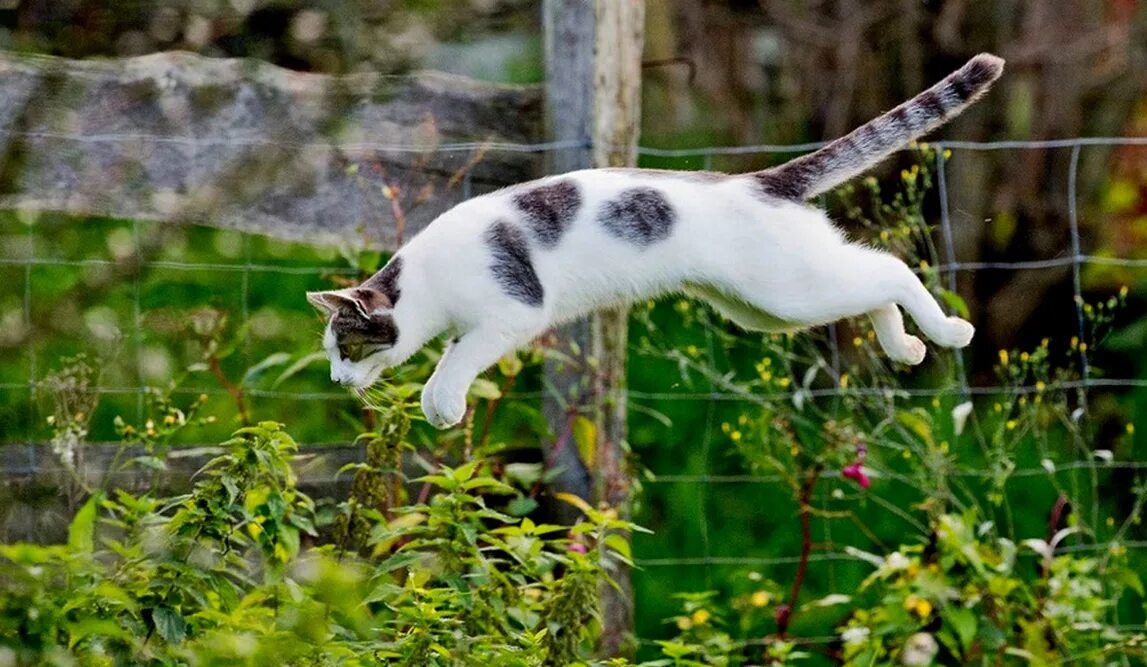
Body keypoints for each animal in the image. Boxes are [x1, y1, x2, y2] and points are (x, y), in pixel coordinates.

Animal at [307, 52, 1004, 428]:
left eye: (347, 346)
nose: (337, 381)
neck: (429, 282)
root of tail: (760, 179)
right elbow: (451, 355)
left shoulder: (513, 313)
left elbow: (452, 362)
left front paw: (443, 403)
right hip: (766, 307)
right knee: (872, 281)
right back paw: (907, 348)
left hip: (787, 291)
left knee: (891, 269)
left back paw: (948, 332)